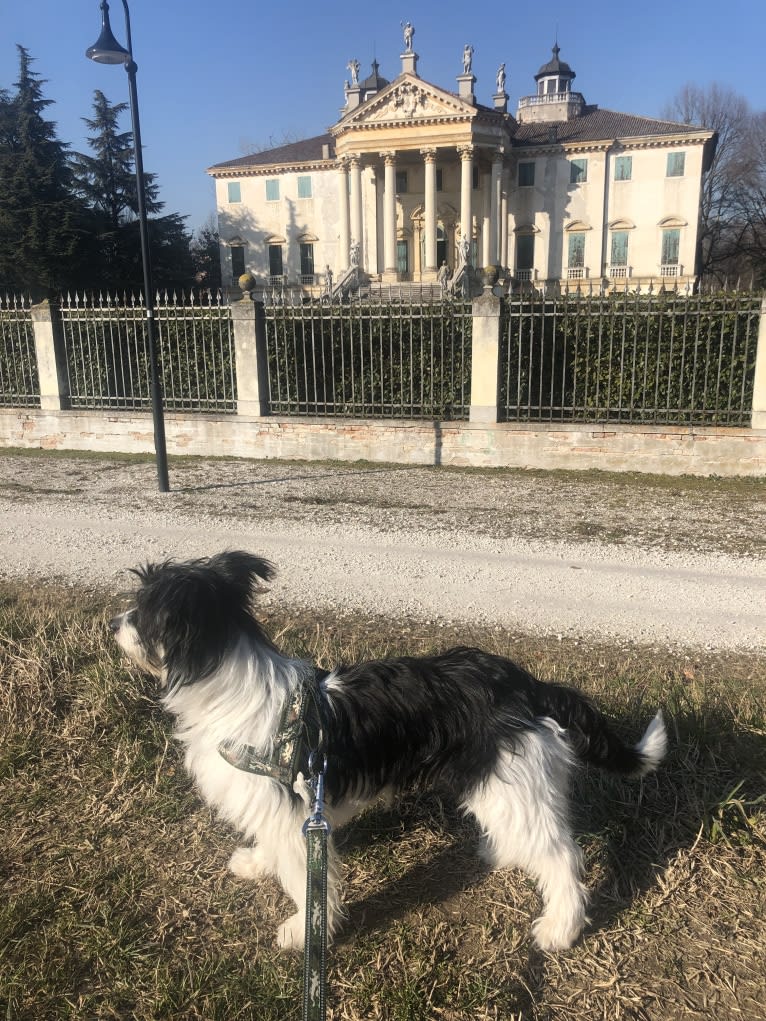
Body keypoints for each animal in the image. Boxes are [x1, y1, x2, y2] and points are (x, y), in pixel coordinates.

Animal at [110, 555, 669, 951]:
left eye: (143, 612)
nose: (114, 622)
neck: (229, 685)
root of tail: (522, 684)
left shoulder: (293, 815)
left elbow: (304, 878)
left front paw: (304, 931)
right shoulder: (282, 806)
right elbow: (276, 847)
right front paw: (258, 863)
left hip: (511, 778)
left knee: (561, 856)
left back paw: (560, 928)